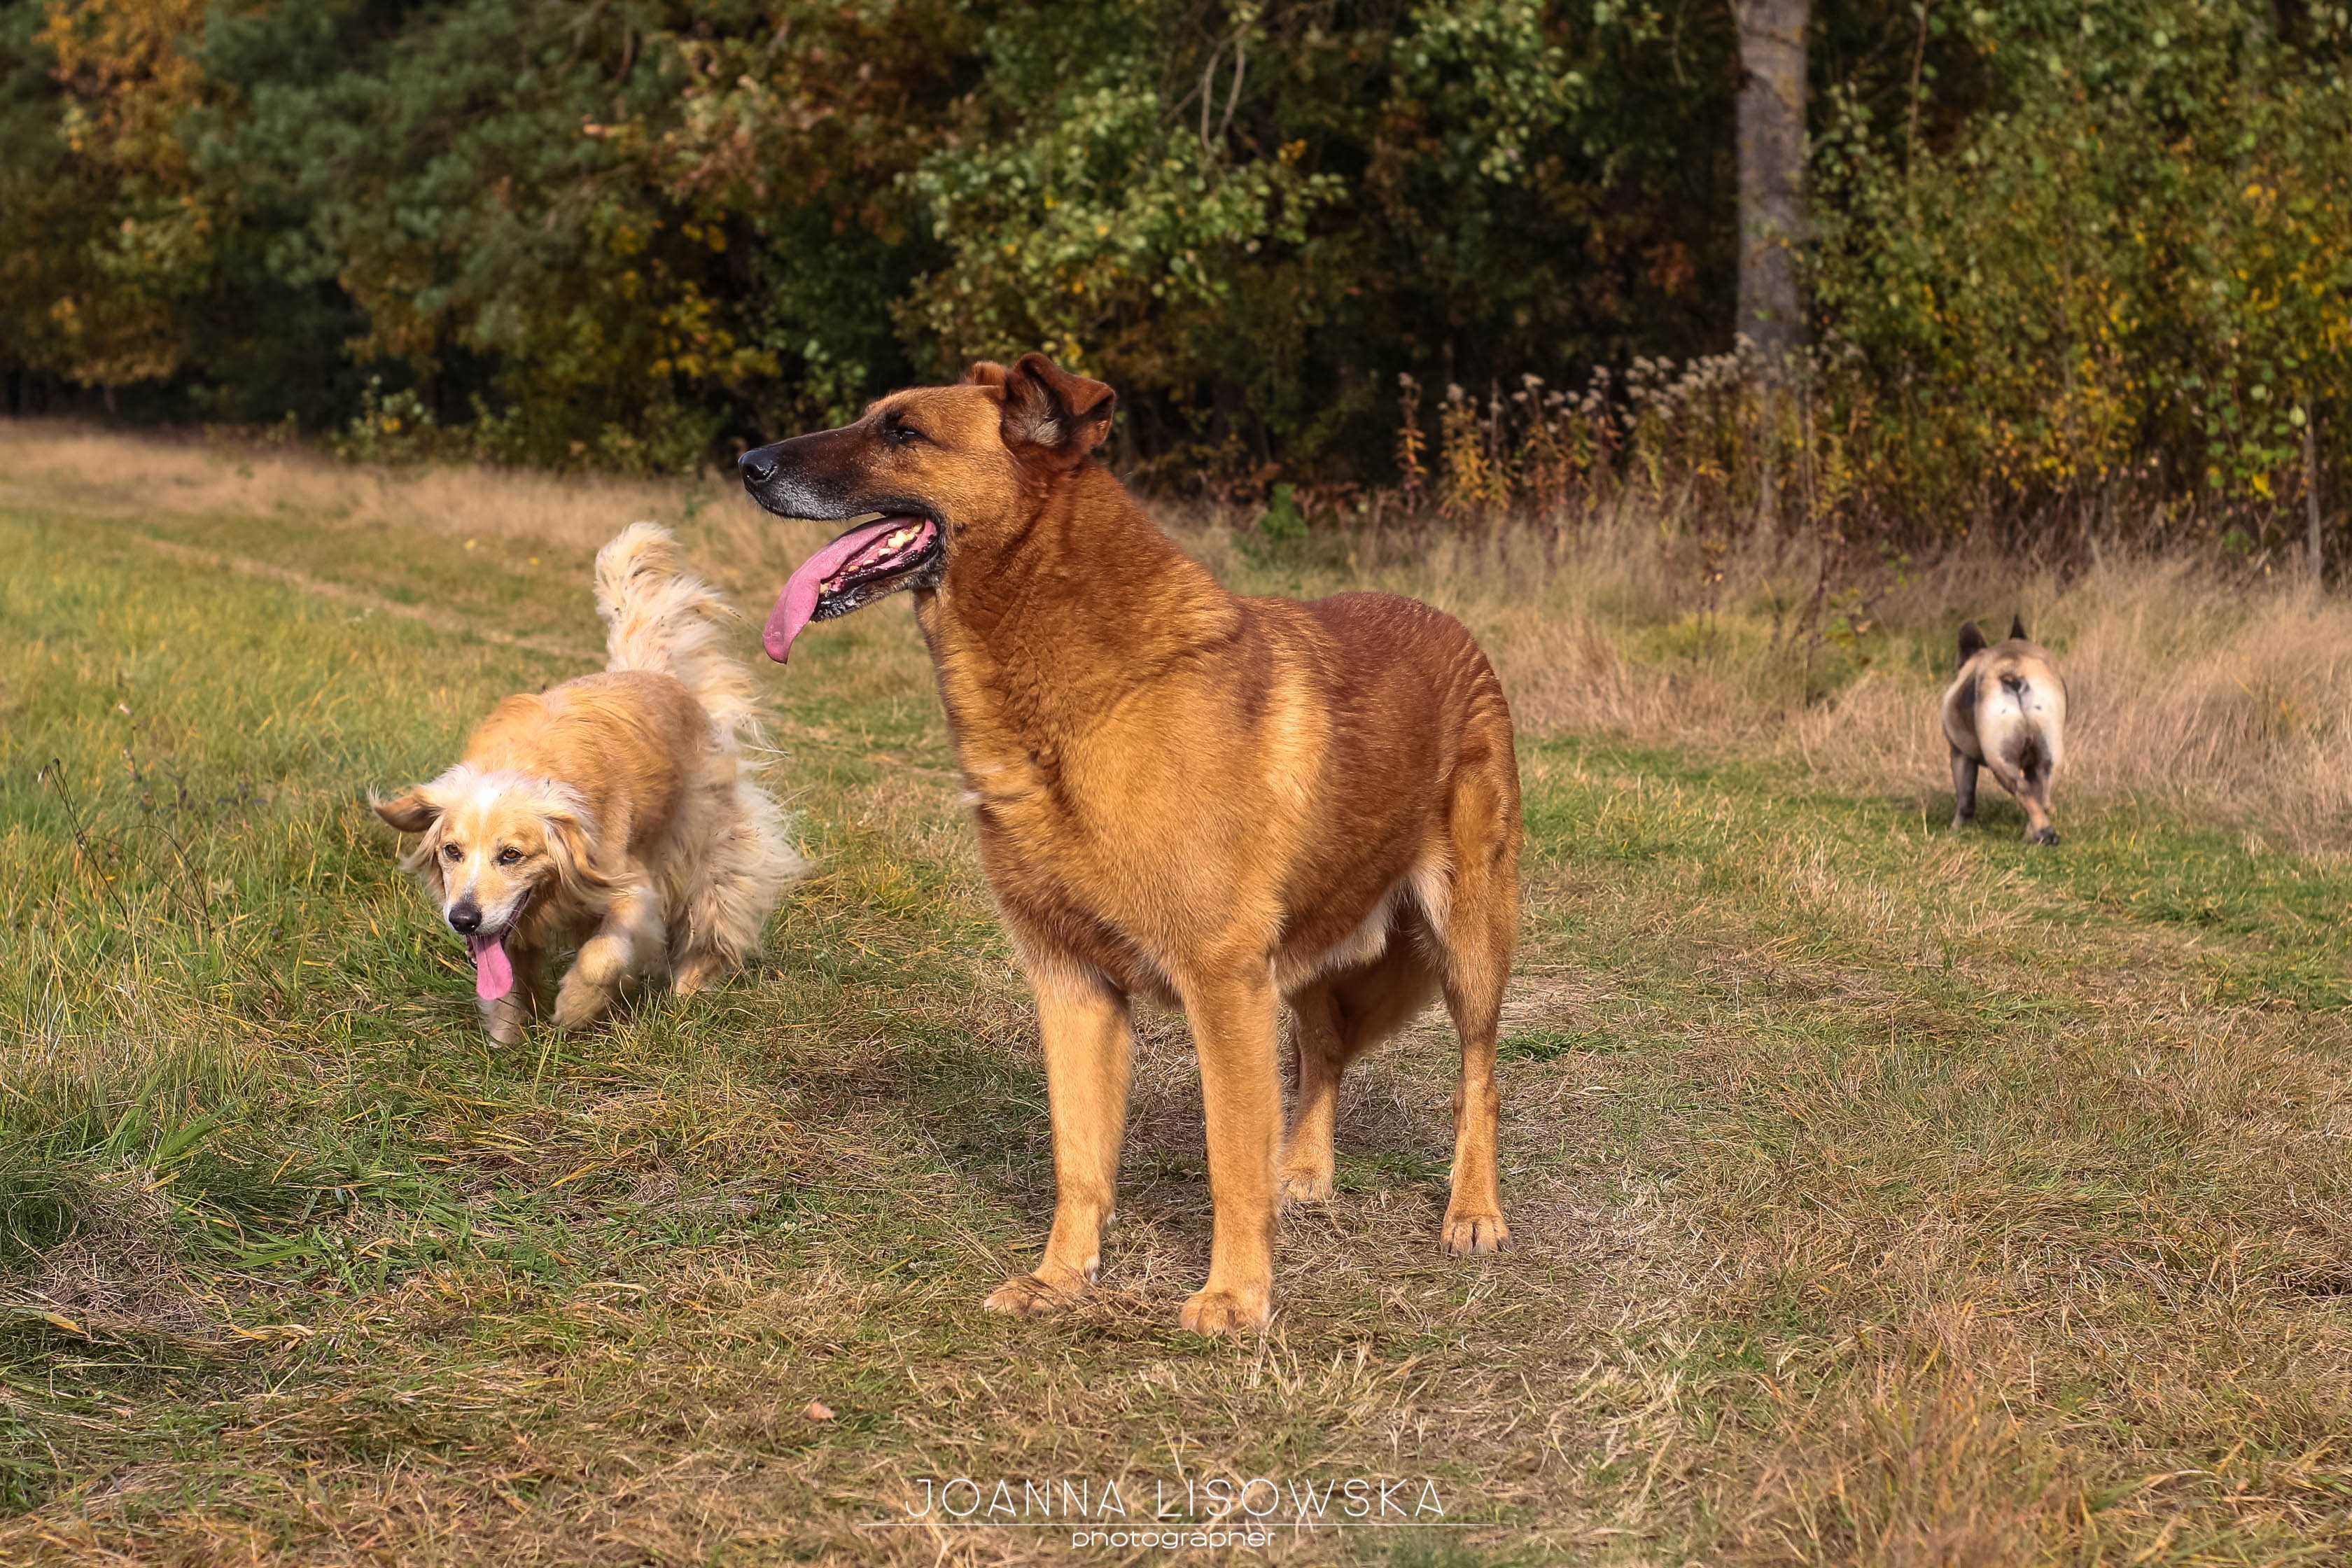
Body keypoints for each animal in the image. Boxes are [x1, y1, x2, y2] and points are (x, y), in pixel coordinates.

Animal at [371, 526, 804, 1044]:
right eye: (451, 851)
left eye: (511, 855)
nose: (463, 920)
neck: (527, 764)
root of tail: (652, 671)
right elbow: (506, 976)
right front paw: (505, 1032)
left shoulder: (631, 886)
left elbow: (603, 954)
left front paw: (576, 1006)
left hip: (709, 841)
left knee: (716, 912)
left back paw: (690, 986)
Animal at [743, 355, 1533, 1335]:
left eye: (903, 431)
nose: (748, 464)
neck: (1089, 694)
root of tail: (1456, 629)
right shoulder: (1073, 984)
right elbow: (1080, 1159)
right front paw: (1060, 1279)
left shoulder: (1222, 984)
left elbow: (1230, 1159)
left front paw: (1234, 1296)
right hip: (1316, 949)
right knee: (1324, 1049)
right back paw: (1306, 1168)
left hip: (1469, 946)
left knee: (1478, 1079)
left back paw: (1473, 1211)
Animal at [1938, 611, 2069, 846]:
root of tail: (2012, 671)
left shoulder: (1960, 754)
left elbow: (1965, 797)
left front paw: (1957, 829)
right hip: (2051, 752)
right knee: (2041, 794)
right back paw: (2036, 833)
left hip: (1999, 757)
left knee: (2023, 790)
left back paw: (2042, 832)